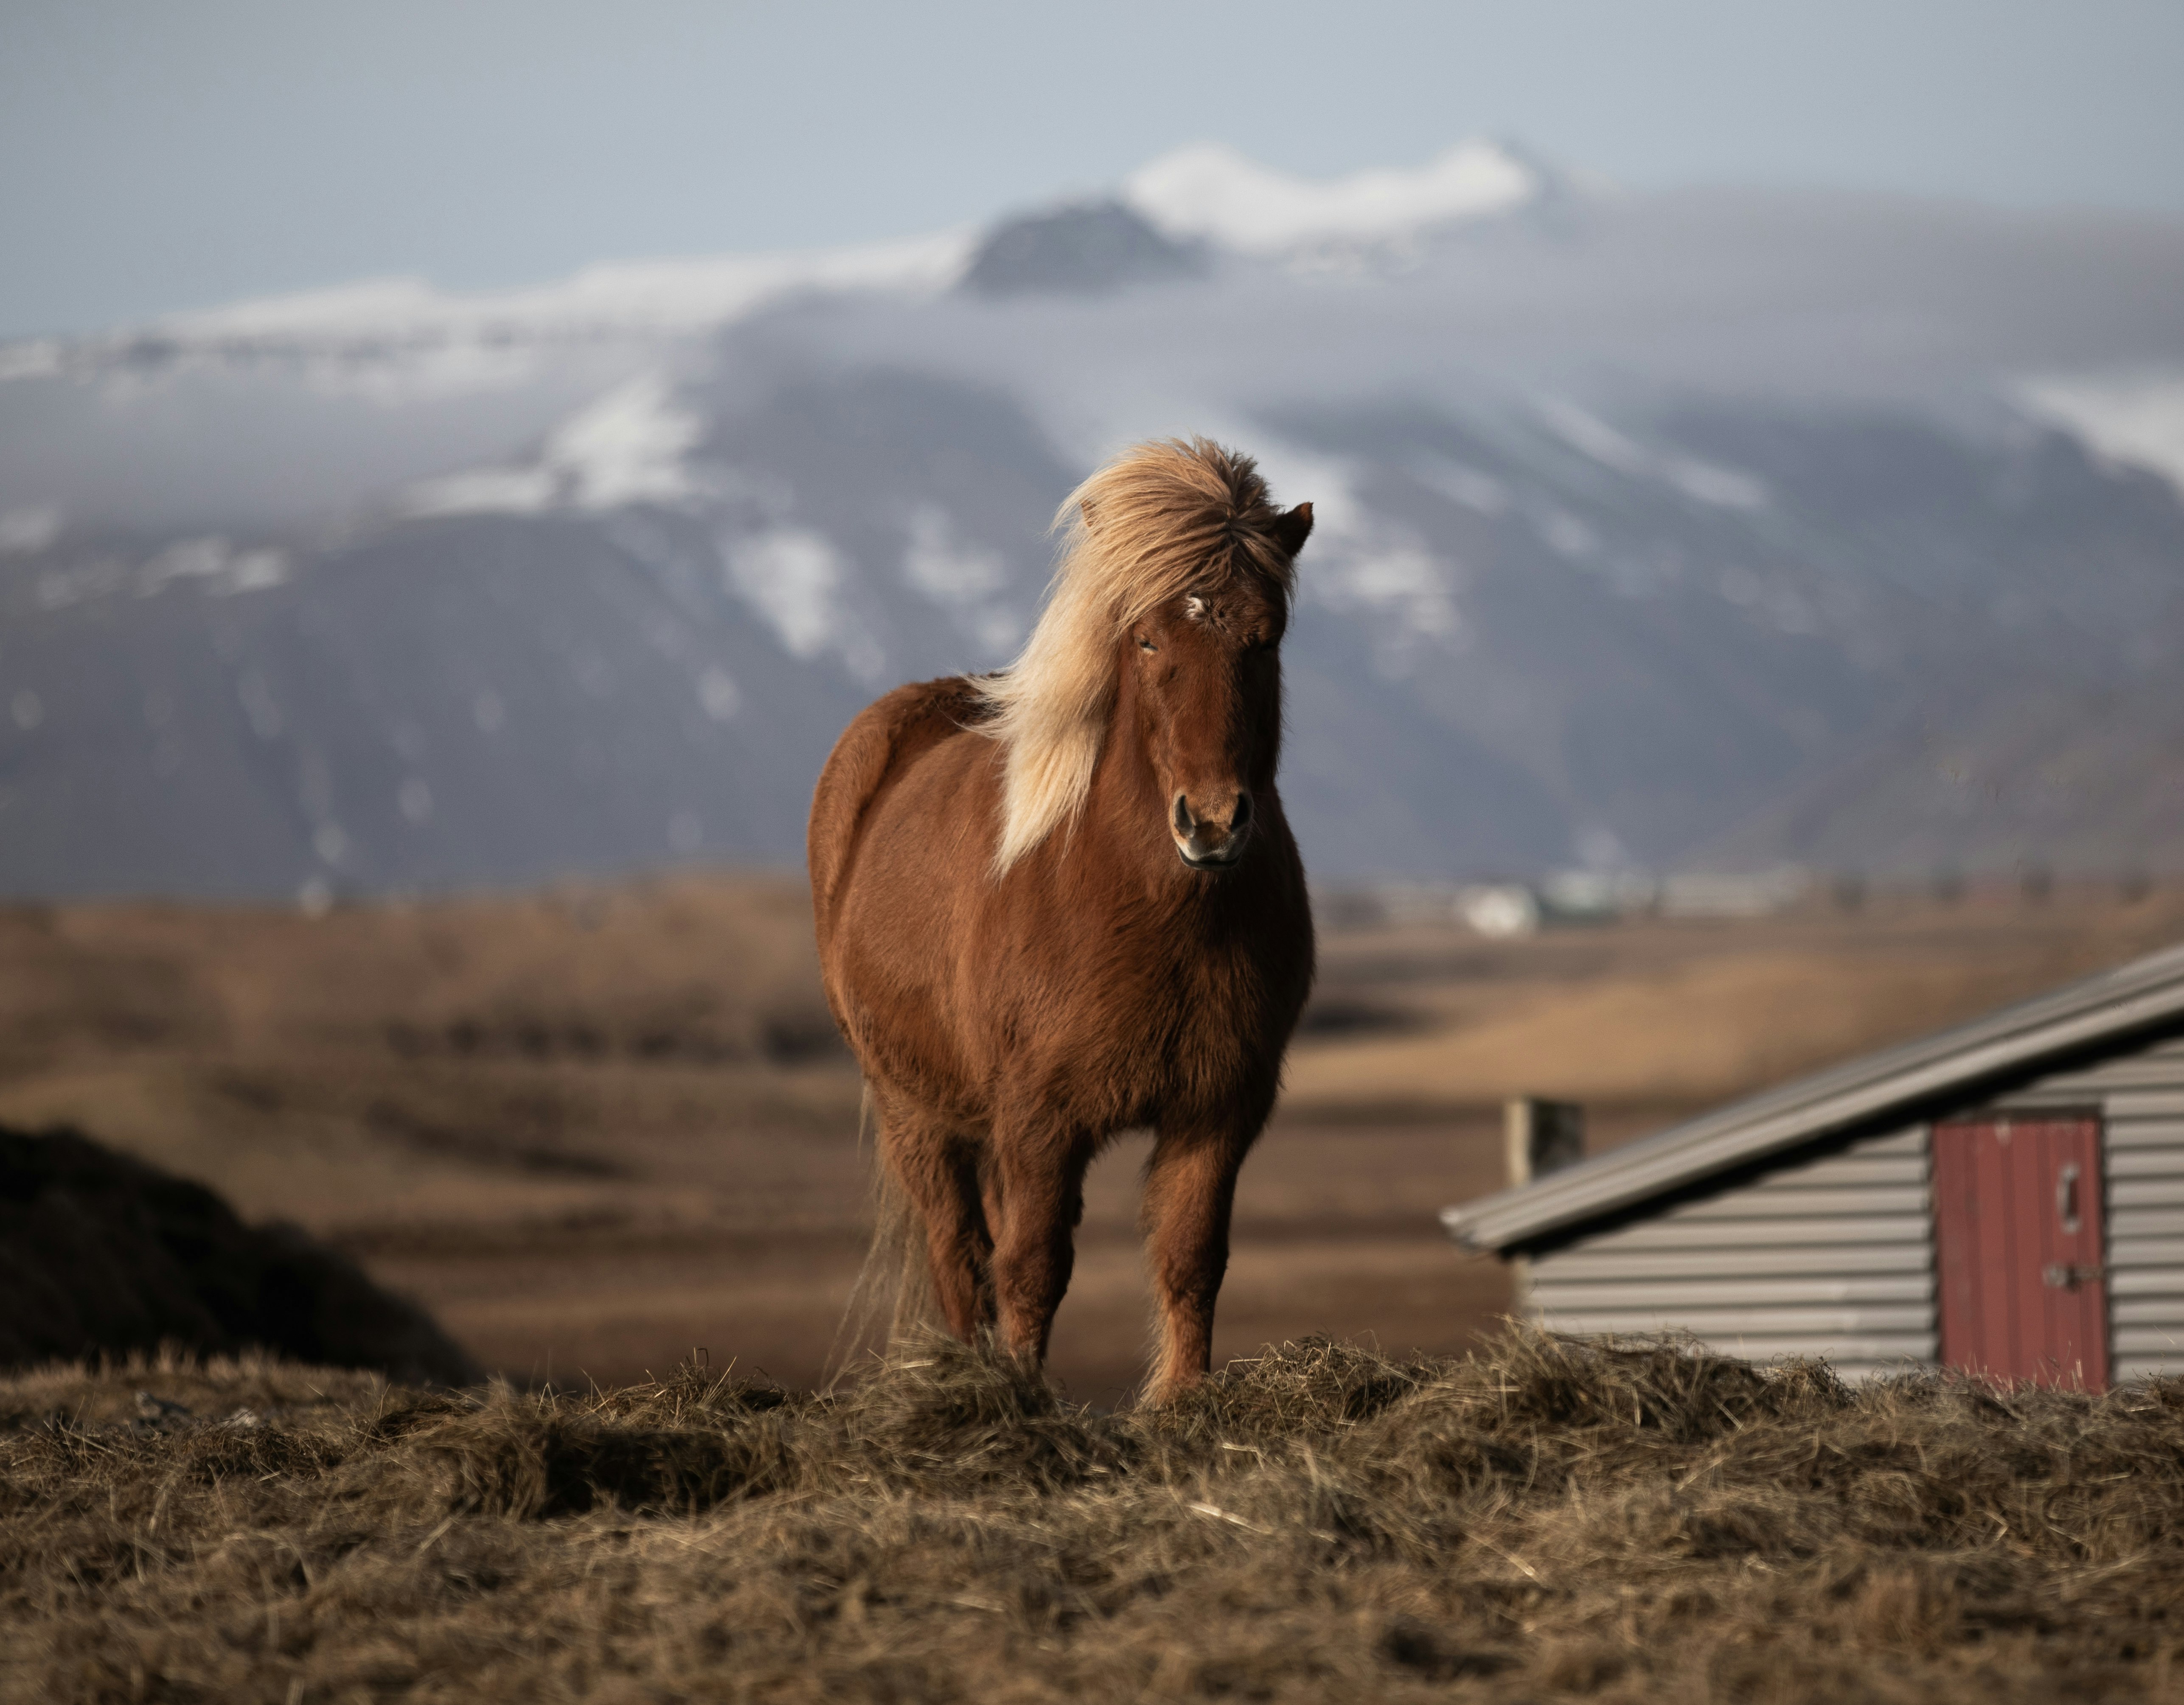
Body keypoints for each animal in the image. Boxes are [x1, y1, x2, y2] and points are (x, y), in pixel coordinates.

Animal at [808, 437, 1315, 1402]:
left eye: (1264, 636)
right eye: (1147, 635)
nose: (1212, 823)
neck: (1152, 910)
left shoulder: (1218, 1107)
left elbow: (1192, 1257)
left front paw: (1179, 1401)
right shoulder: (1041, 1121)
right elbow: (1032, 1266)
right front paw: (1019, 1398)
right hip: (914, 1111)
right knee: (959, 1254)